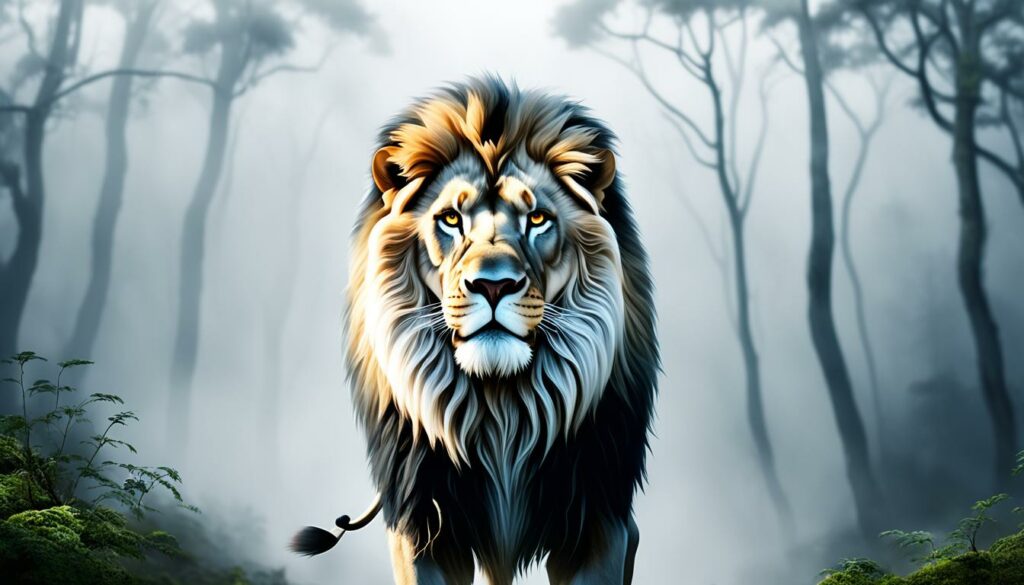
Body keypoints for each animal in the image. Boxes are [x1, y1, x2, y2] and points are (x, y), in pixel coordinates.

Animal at [293, 76, 658, 585]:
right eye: (451, 218)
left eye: (537, 219)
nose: (493, 284)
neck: (500, 410)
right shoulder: (422, 522)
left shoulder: (598, 519)